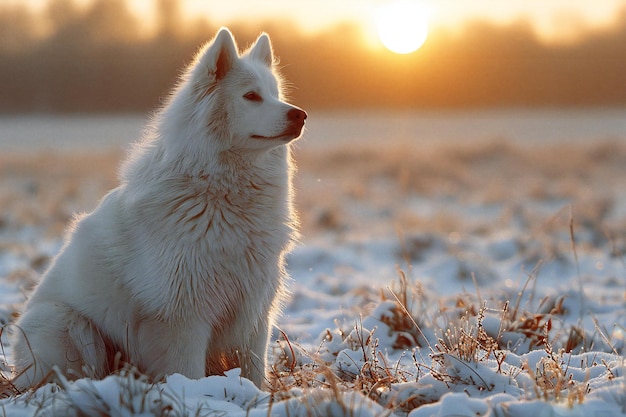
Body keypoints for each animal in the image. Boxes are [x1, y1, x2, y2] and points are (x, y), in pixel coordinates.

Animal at [13, 27, 306, 388]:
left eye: (276, 95)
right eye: (251, 96)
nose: (300, 115)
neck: (220, 191)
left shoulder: (254, 309)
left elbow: (254, 370)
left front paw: (256, 395)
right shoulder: (181, 316)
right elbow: (187, 372)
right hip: (66, 324)